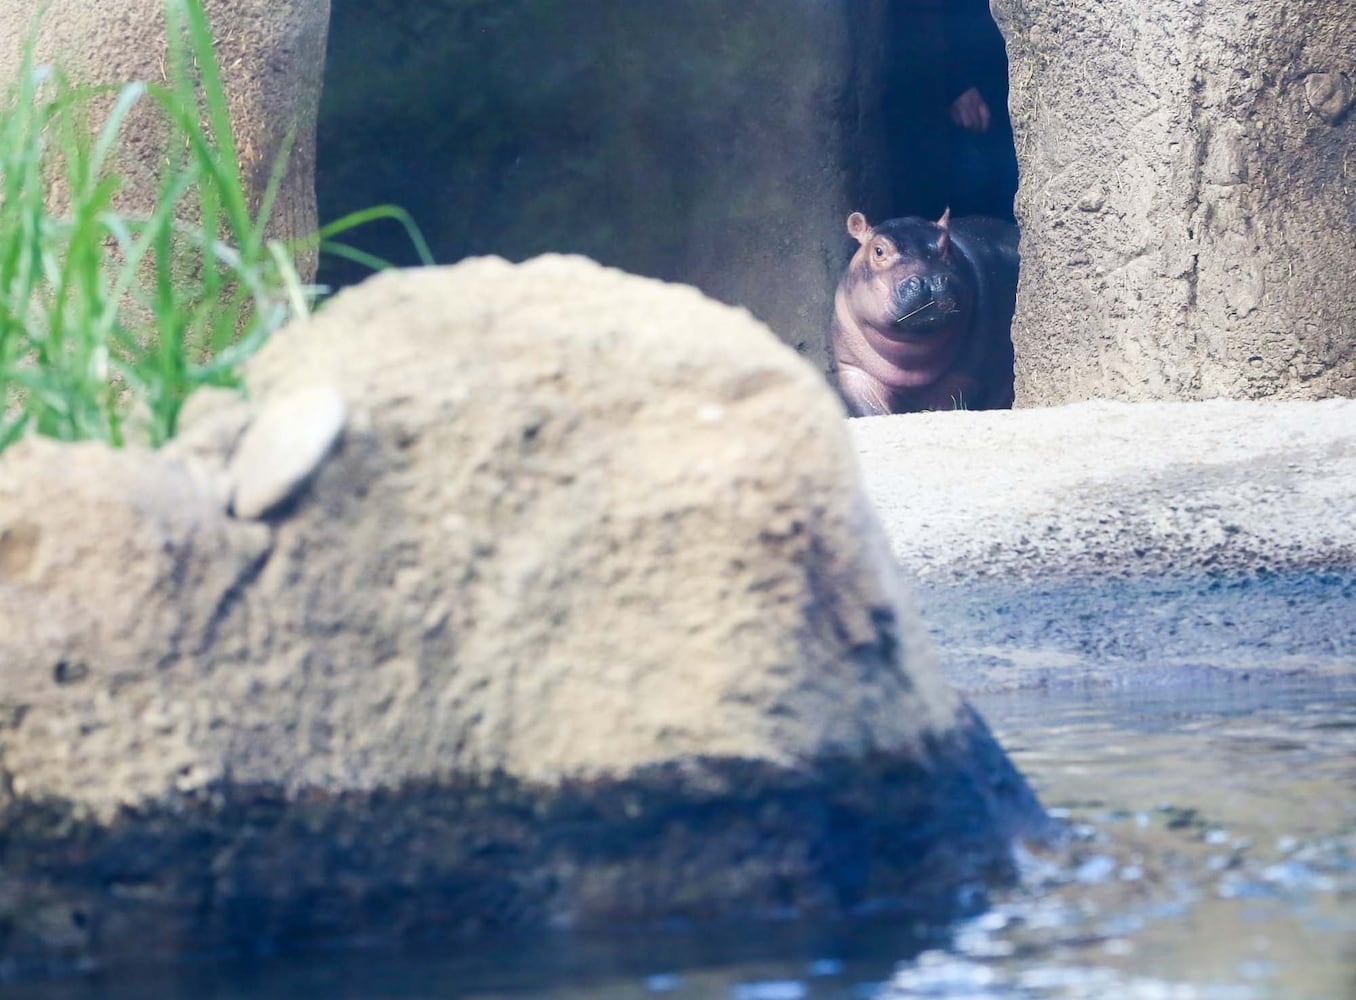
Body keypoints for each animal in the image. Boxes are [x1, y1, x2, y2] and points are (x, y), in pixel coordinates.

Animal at [824, 208, 1019, 415]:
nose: (931, 281)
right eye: (878, 250)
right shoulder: (854, 372)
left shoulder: (964, 377)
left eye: (948, 245)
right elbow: (870, 409)